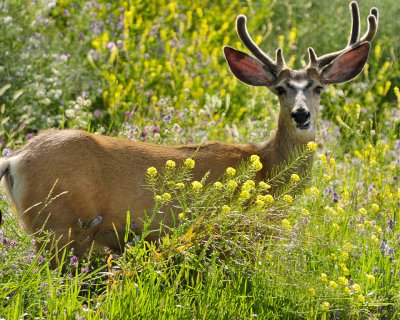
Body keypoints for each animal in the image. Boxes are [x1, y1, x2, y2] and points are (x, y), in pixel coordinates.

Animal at [0, 2, 378, 262]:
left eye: (318, 88)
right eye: (281, 89)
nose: (301, 114)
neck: (266, 167)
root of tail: (15, 159)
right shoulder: (237, 231)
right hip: (60, 227)